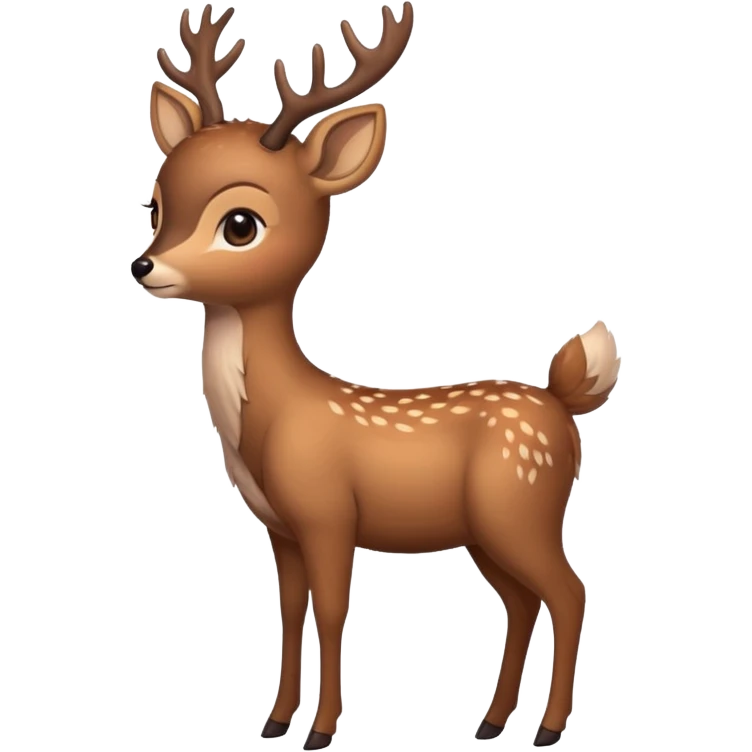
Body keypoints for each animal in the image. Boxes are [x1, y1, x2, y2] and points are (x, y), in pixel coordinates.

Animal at [133, 2, 621, 748]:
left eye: (241, 223)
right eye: (156, 206)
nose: (144, 266)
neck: (274, 419)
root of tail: (564, 404)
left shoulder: (329, 511)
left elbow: (332, 611)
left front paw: (322, 729)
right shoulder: (280, 526)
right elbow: (290, 610)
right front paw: (275, 721)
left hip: (522, 508)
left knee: (569, 592)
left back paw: (546, 728)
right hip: (487, 530)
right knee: (522, 600)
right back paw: (491, 722)